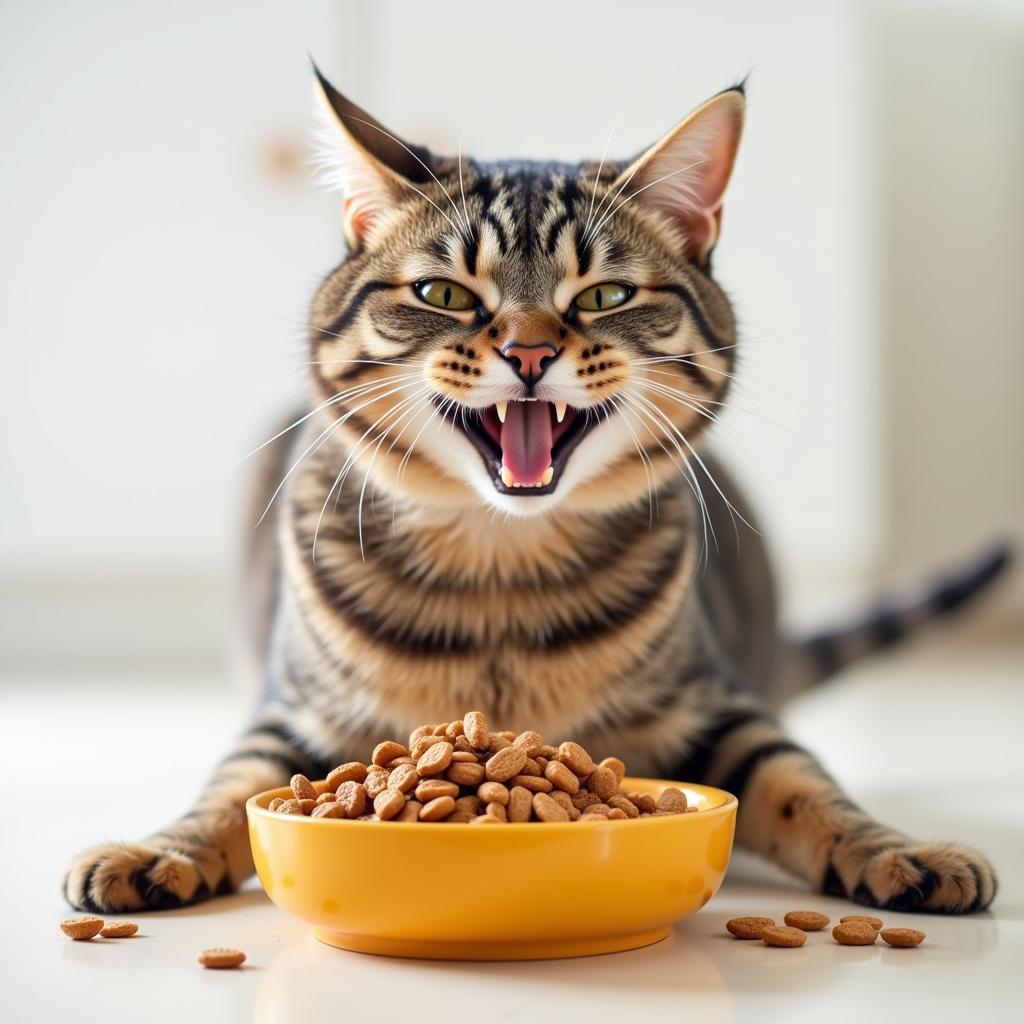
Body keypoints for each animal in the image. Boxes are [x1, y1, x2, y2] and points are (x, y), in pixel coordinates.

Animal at [61, 66, 999, 913]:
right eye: (443, 292)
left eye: (606, 294)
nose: (529, 352)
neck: (500, 575)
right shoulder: (289, 717)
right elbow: (228, 789)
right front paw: (158, 850)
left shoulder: (721, 709)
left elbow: (806, 786)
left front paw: (902, 851)